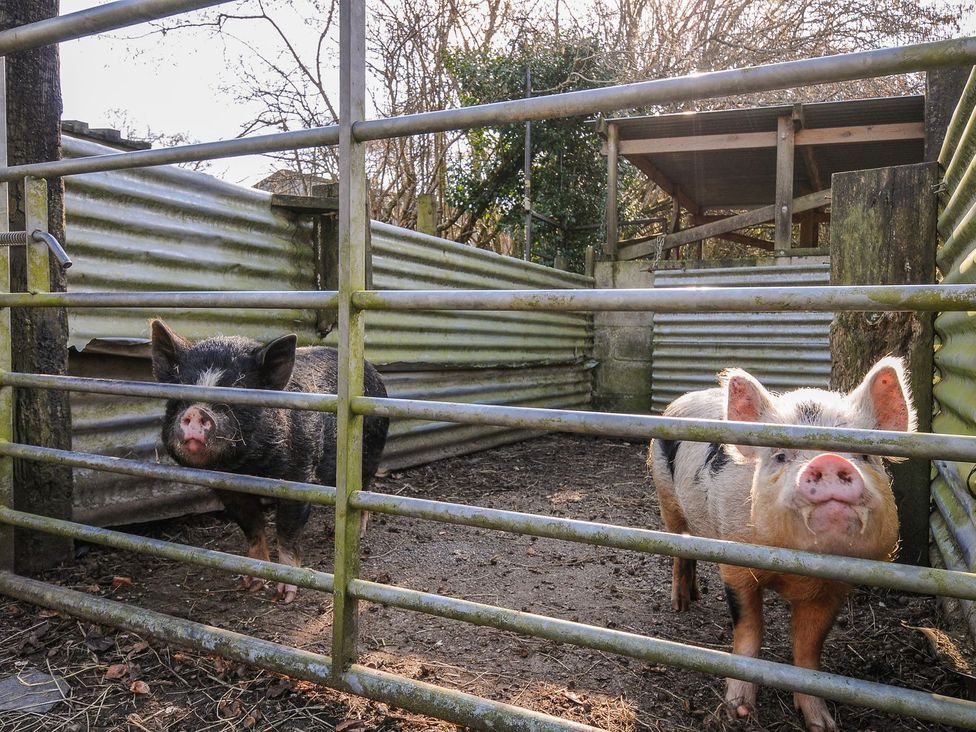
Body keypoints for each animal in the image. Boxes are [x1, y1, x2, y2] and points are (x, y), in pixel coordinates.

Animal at [150, 319, 389, 604]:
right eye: (180, 391)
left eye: (240, 392)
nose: (196, 411)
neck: (251, 469)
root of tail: (373, 371)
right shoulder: (228, 489)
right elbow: (252, 529)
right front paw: (251, 583)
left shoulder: (298, 476)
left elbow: (287, 531)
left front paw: (286, 594)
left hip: (371, 451)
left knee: (365, 489)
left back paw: (360, 532)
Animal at [649, 357, 916, 732]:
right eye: (779, 456)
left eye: (865, 455)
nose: (828, 461)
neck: (797, 572)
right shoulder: (736, 564)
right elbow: (749, 629)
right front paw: (739, 711)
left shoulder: (834, 587)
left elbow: (808, 648)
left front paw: (822, 723)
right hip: (665, 496)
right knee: (678, 547)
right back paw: (681, 605)